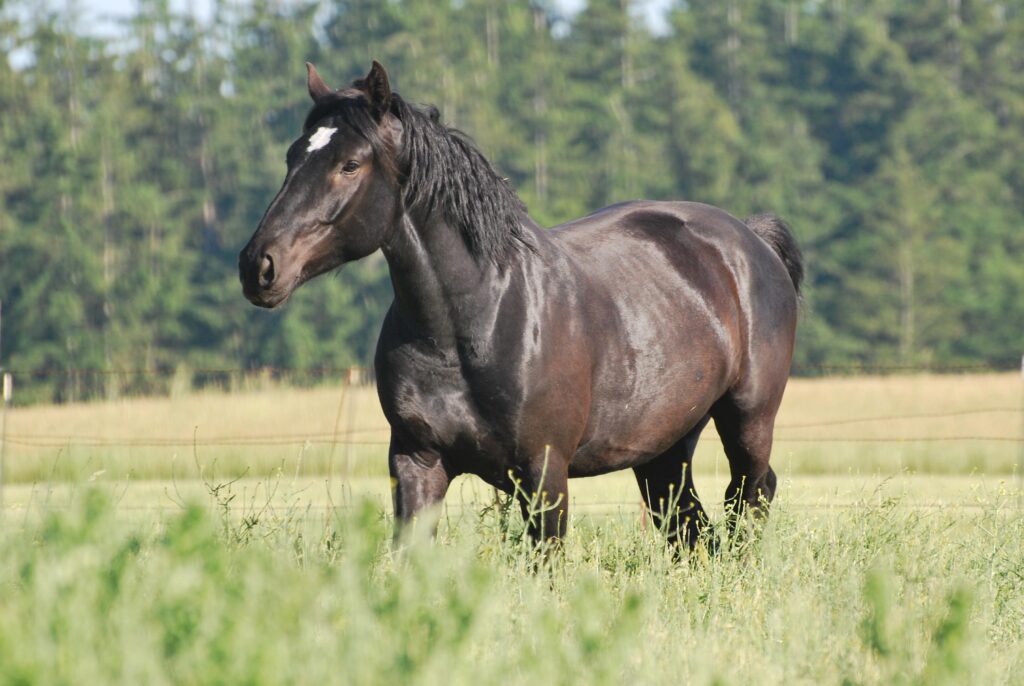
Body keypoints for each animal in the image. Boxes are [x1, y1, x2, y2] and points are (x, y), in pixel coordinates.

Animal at [237, 61, 798, 552]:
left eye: (350, 164)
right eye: (292, 157)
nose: (258, 266)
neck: (475, 323)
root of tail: (753, 241)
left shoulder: (543, 472)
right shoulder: (417, 461)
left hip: (747, 421)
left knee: (749, 498)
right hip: (663, 447)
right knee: (690, 527)